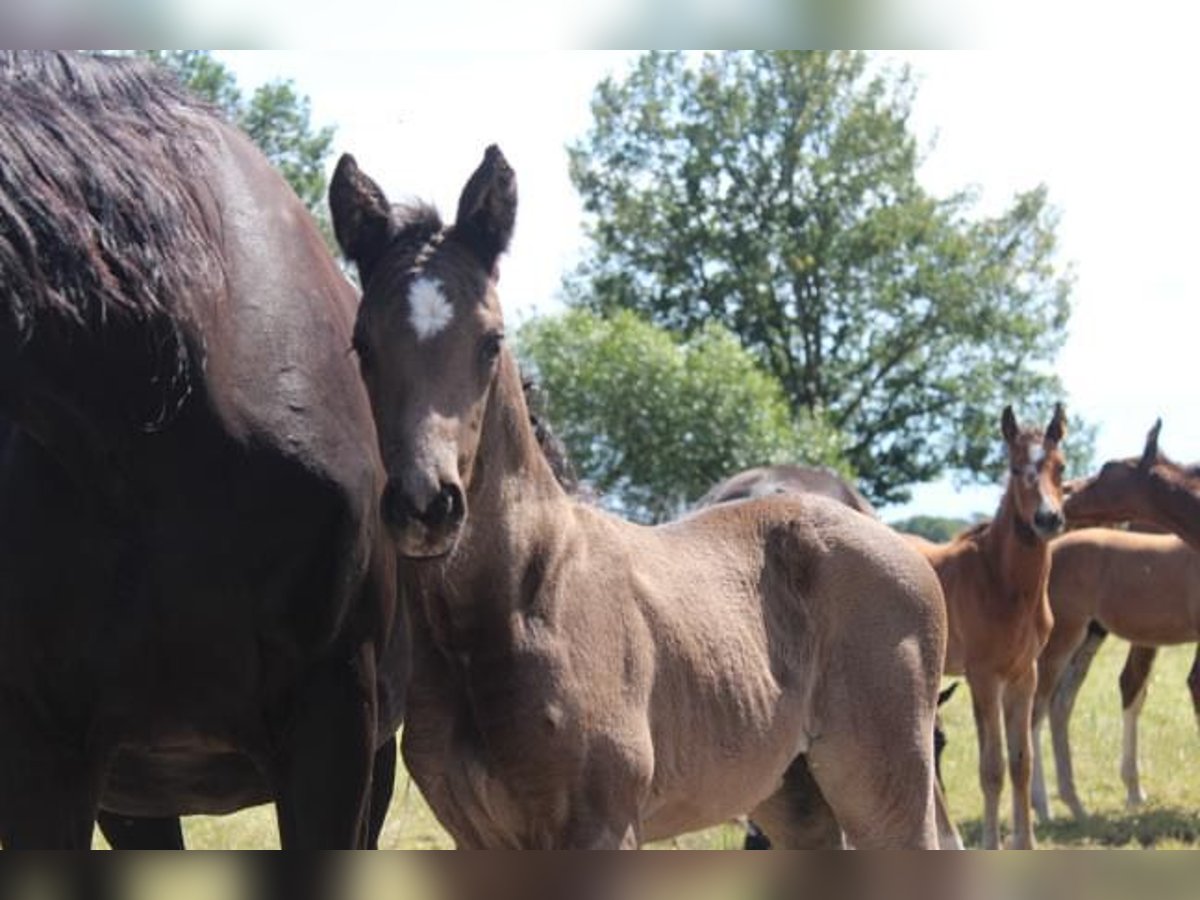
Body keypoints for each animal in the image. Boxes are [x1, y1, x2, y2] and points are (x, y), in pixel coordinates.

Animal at [333, 144, 950, 849]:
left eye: (491, 342)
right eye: (363, 344)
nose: (426, 505)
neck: (514, 604)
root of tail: (901, 547)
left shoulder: (603, 826)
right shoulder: (476, 838)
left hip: (885, 786)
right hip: (795, 796)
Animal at [902, 408, 1065, 854]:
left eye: (1060, 467)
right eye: (1014, 468)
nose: (1048, 519)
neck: (1002, 579)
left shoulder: (1025, 674)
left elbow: (1022, 760)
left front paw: (1026, 843)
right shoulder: (984, 677)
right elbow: (992, 767)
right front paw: (992, 845)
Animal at [1027, 528, 1200, 825]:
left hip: (1088, 637)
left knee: (1060, 704)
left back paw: (1075, 805)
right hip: (1060, 638)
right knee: (1036, 711)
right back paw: (1044, 808)